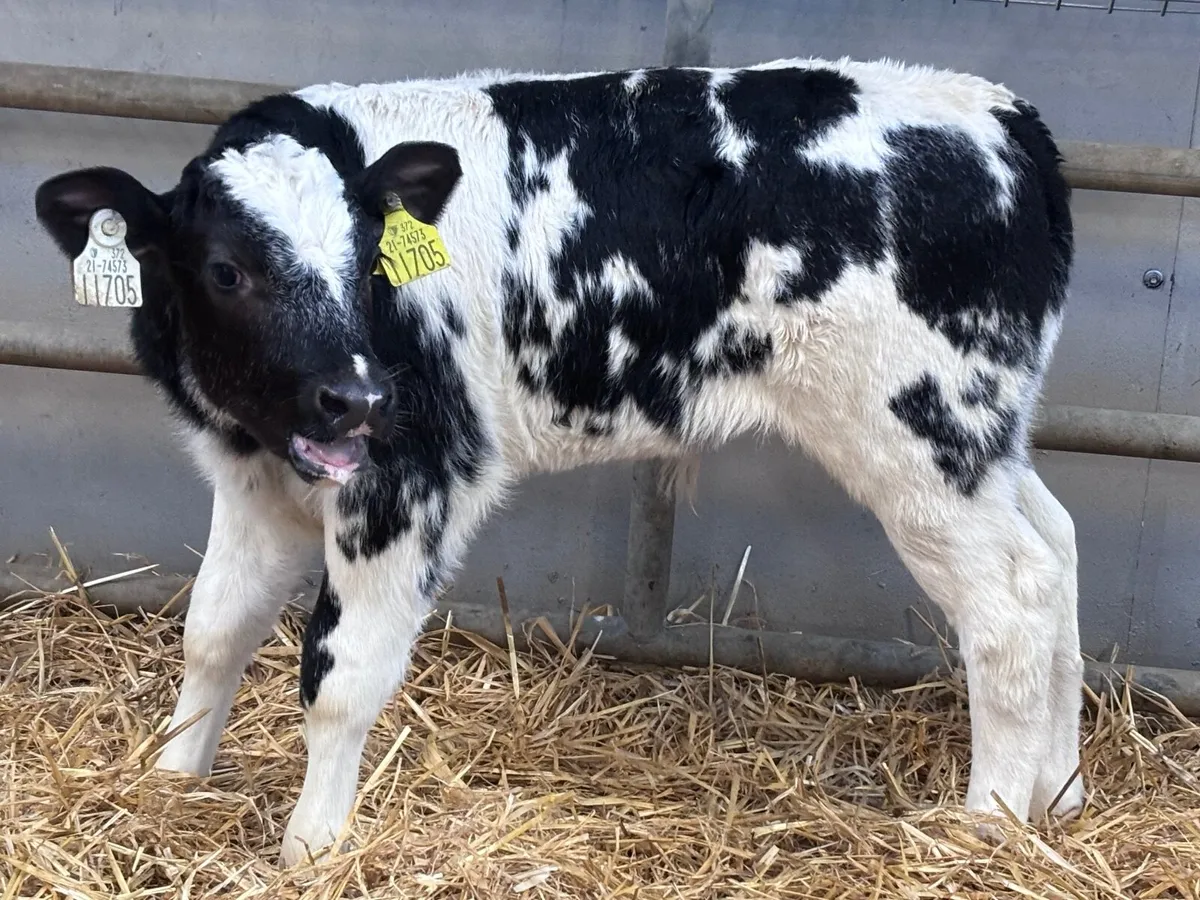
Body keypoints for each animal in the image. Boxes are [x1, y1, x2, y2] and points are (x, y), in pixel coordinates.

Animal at [34, 56, 1082, 865]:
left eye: (368, 262)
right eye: (226, 269)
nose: (359, 399)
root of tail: (1008, 120)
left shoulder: (413, 478)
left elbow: (341, 675)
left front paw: (311, 850)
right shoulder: (254, 479)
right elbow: (214, 630)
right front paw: (170, 787)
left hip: (917, 433)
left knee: (1009, 600)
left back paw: (988, 826)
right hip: (986, 438)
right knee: (1057, 551)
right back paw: (1059, 796)